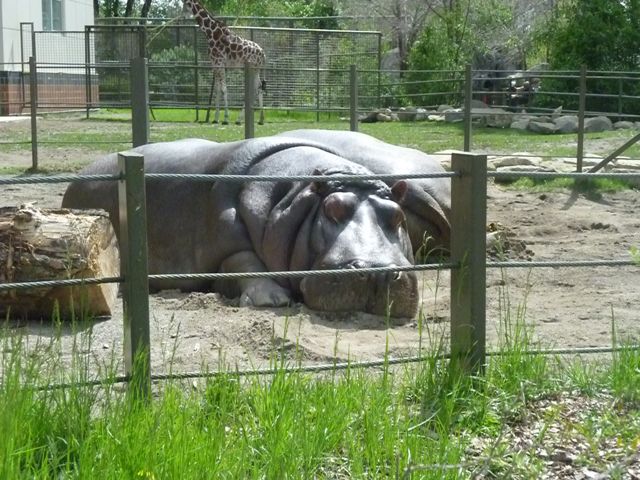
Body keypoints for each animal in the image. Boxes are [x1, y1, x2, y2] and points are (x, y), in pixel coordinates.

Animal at [62, 135, 424, 318]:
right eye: (331, 209)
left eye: (397, 216)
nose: (378, 272)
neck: (294, 197)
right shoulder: (224, 241)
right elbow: (243, 262)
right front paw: (272, 300)